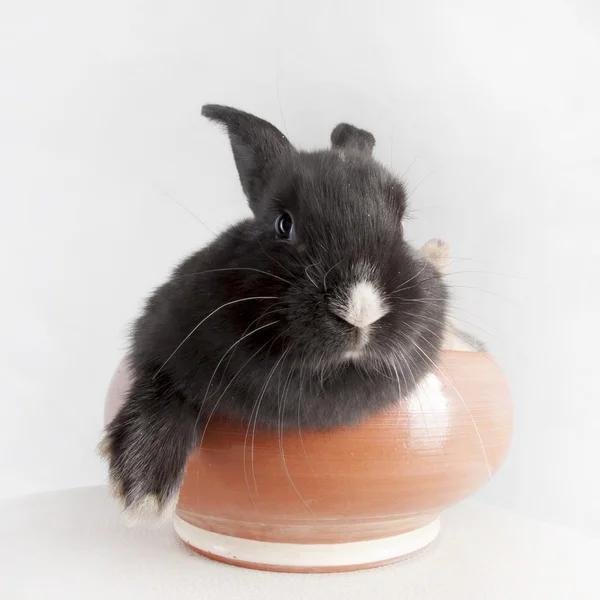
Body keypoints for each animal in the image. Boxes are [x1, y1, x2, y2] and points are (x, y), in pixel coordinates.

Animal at [98, 105, 448, 524]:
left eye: (400, 223)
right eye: (284, 224)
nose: (361, 310)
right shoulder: (159, 338)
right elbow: (161, 386)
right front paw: (144, 491)